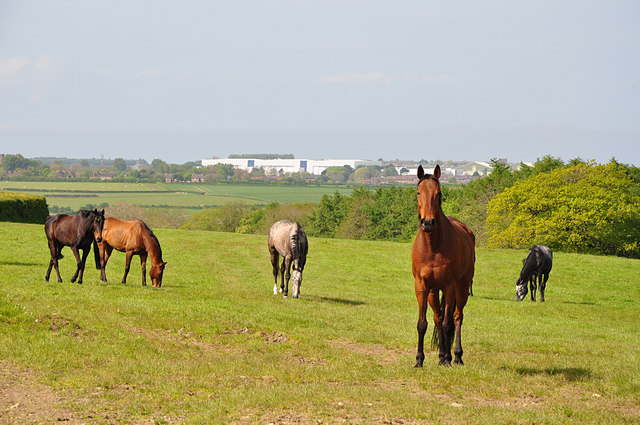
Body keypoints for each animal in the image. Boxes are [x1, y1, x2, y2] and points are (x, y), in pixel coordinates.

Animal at [410, 164, 476, 366]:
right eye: (418, 192)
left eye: (438, 193)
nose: (428, 223)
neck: (433, 246)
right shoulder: (422, 286)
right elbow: (423, 323)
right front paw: (419, 360)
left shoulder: (450, 286)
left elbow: (449, 324)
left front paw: (448, 359)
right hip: (433, 291)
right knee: (438, 318)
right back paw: (441, 355)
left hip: (462, 289)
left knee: (457, 317)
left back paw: (455, 356)